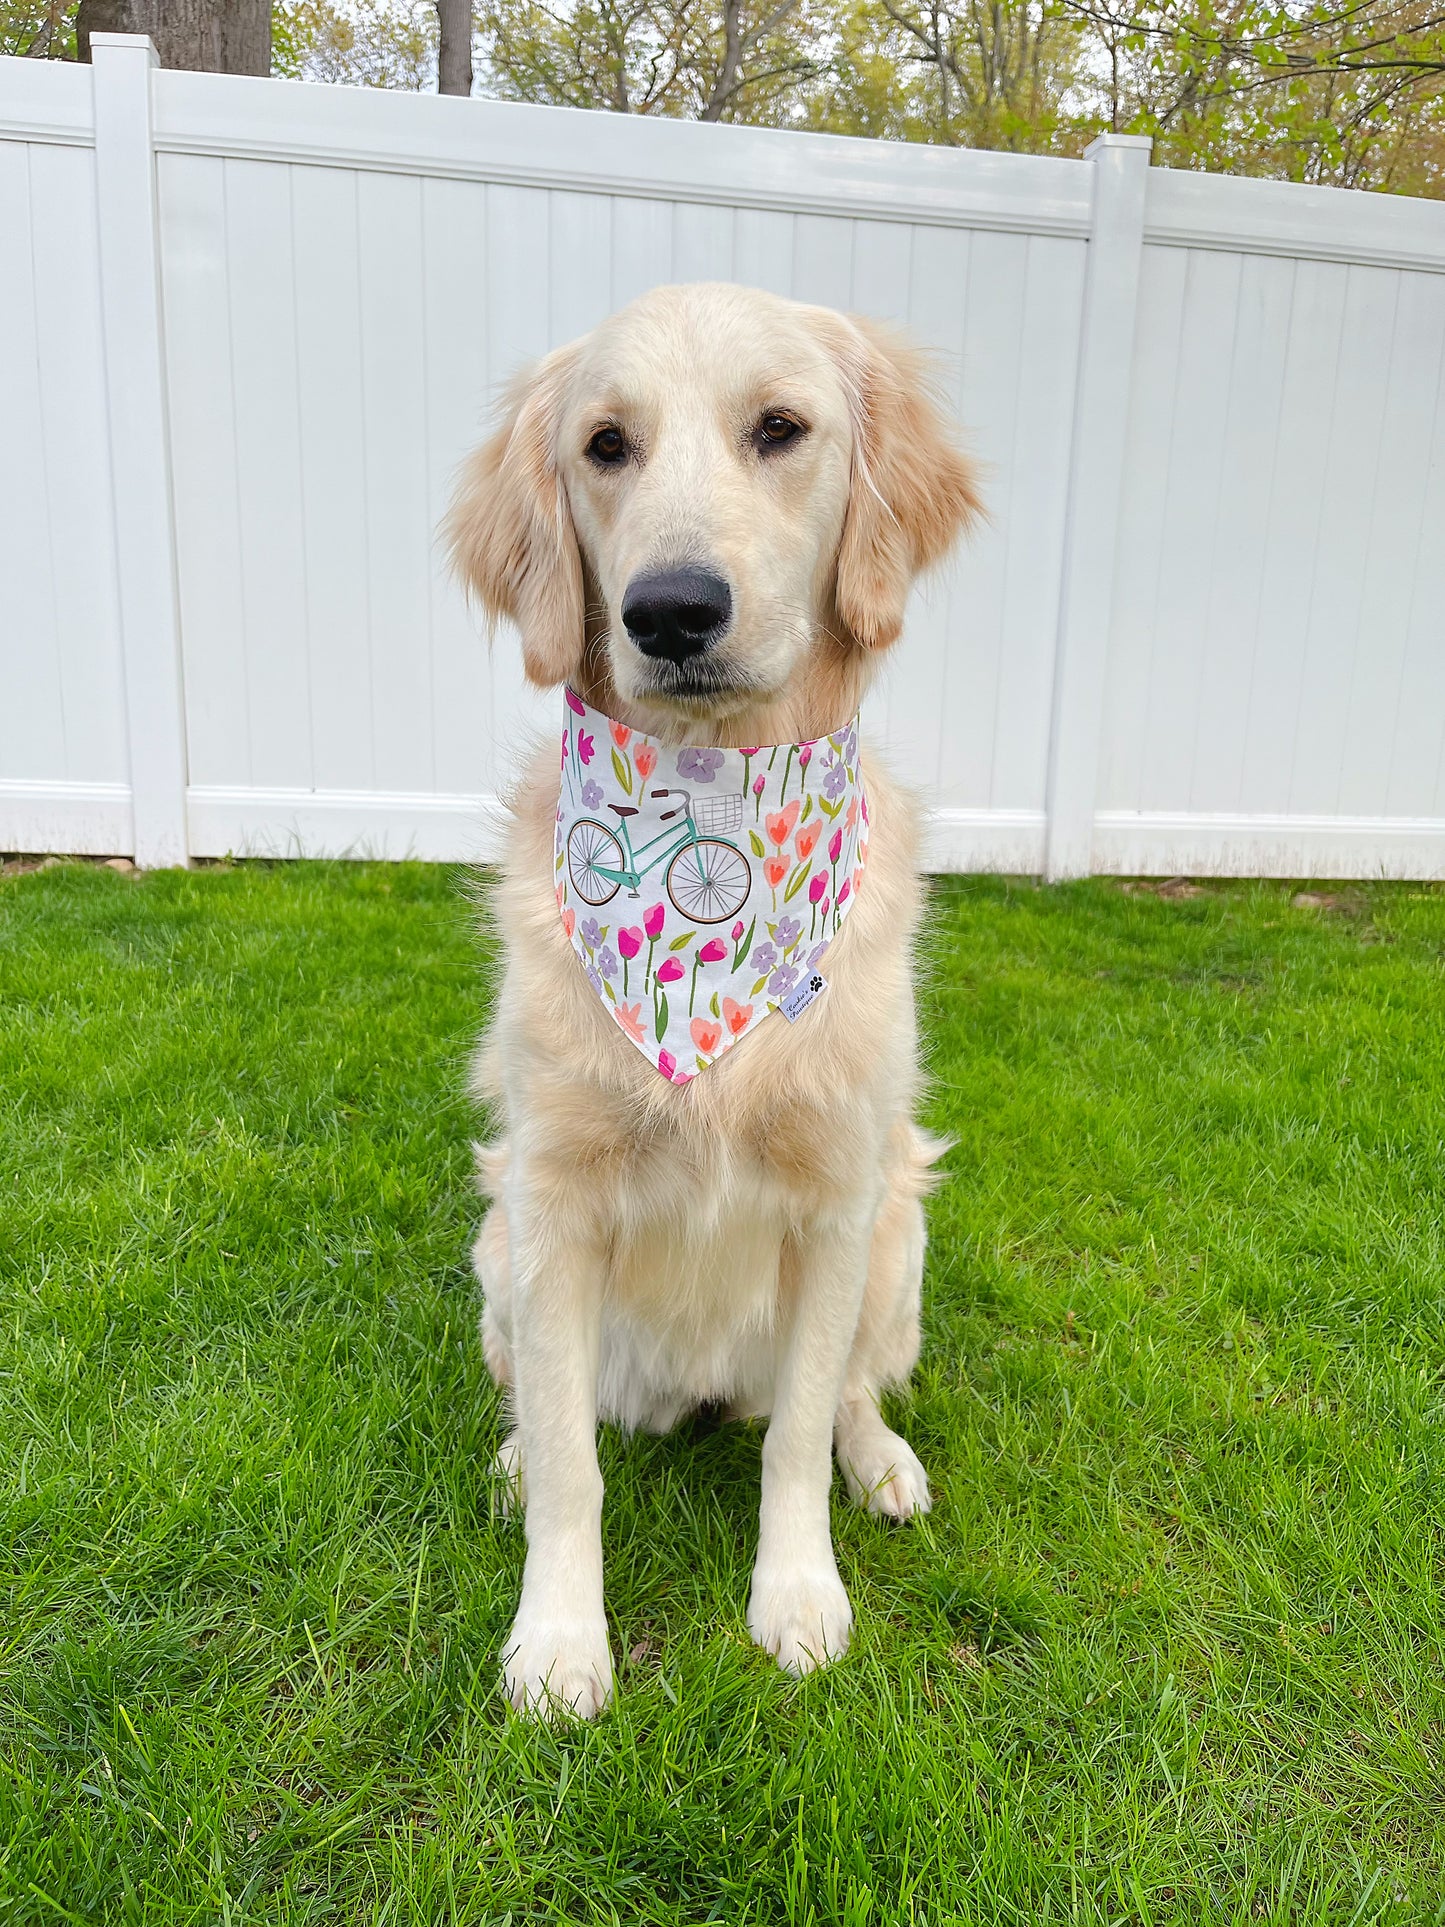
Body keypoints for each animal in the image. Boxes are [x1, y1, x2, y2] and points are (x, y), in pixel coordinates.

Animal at [446, 281, 978, 1718]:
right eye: (605, 445)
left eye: (779, 428)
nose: (671, 610)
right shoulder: (554, 1201)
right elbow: (571, 1467)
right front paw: (557, 1639)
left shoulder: (837, 1196)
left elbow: (795, 1431)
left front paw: (797, 1595)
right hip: (496, 1248)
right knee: (544, 1410)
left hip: (899, 1236)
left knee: (844, 1394)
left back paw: (883, 1460)